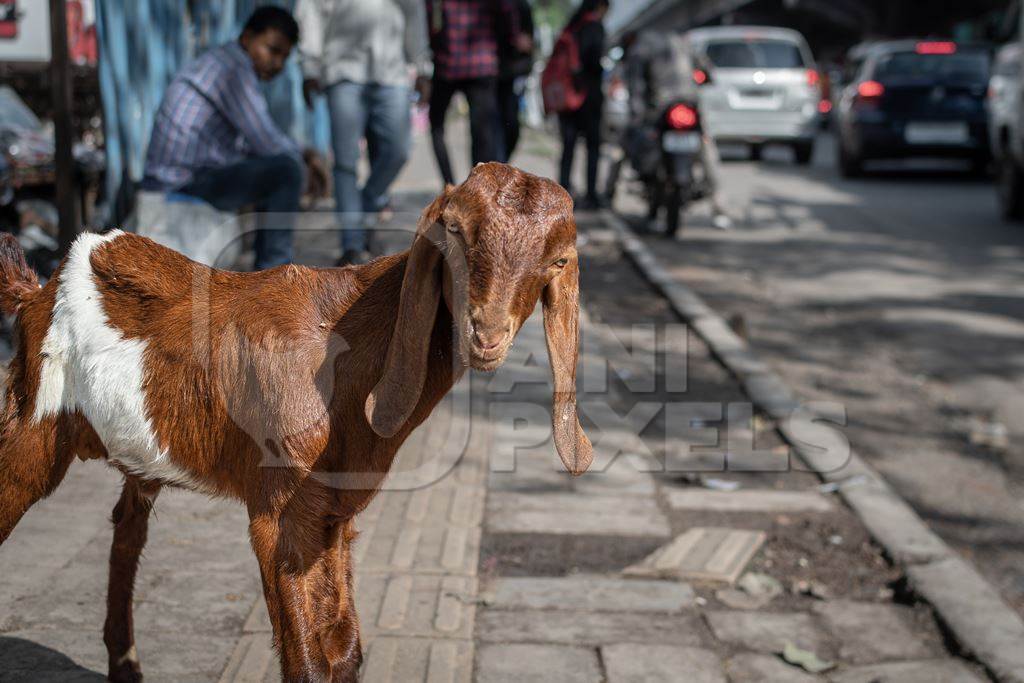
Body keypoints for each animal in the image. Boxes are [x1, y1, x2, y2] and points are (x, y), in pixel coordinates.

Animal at [0, 162, 593, 679]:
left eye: (557, 262)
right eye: (454, 231)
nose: (486, 334)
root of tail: (36, 291)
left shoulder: (333, 514)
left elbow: (345, 651)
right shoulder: (277, 512)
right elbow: (304, 660)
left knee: (127, 530)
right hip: (31, 425)